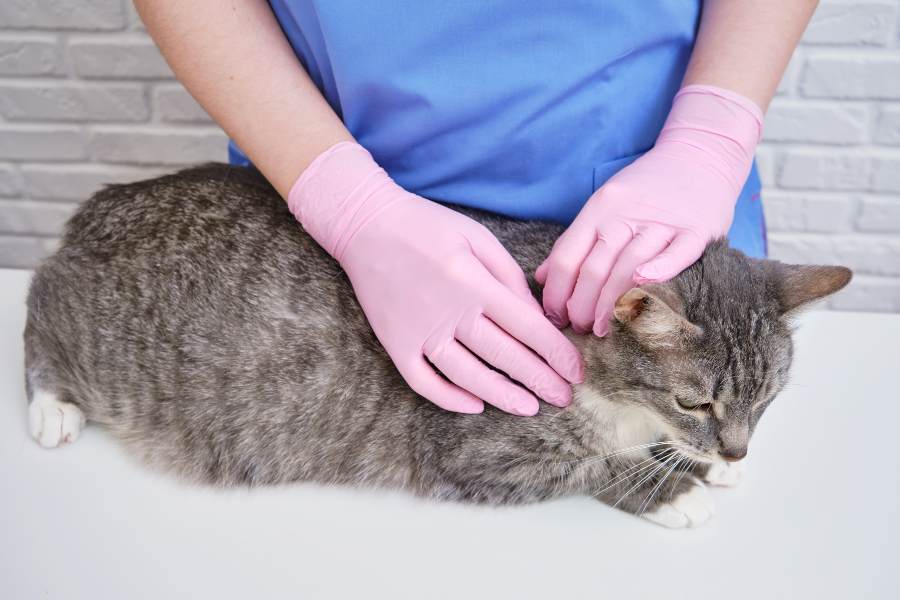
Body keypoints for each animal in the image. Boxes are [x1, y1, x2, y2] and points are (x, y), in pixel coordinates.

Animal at [21, 163, 852, 524]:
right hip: (91, 333)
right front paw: (674, 485)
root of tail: (107, 200)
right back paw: (51, 406)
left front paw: (701, 465)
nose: (736, 449)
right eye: (695, 400)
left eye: (766, 401)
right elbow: (595, 466)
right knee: (35, 308)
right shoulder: (479, 455)